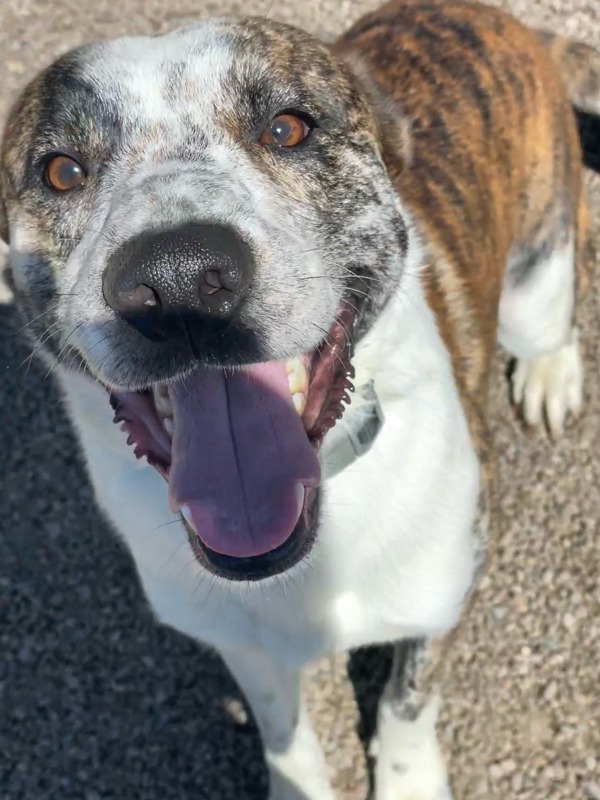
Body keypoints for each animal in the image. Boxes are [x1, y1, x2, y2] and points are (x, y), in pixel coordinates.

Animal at [1, 0, 600, 796]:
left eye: (289, 128)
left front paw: (408, 781)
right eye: (61, 170)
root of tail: (503, 21)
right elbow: (281, 729)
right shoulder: (237, 641)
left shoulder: (444, 594)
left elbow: (407, 705)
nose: (179, 279)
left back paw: (549, 376)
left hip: (536, 284)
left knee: (552, 312)